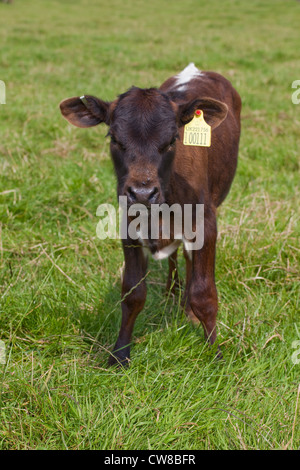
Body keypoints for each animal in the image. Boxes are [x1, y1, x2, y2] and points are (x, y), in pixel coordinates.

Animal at [59, 62, 241, 366]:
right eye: (115, 139)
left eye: (172, 140)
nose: (142, 193)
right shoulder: (129, 226)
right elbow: (133, 293)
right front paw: (120, 353)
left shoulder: (206, 224)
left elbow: (204, 294)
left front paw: (214, 352)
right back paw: (171, 293)